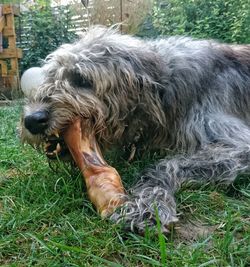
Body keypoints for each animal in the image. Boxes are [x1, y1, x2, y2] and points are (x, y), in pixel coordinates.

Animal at [20, 26, 250, 233]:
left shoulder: (235, 140)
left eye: (82, 80)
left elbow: (165, 165)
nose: (31, 120)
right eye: (50, 77)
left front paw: (148, 206)